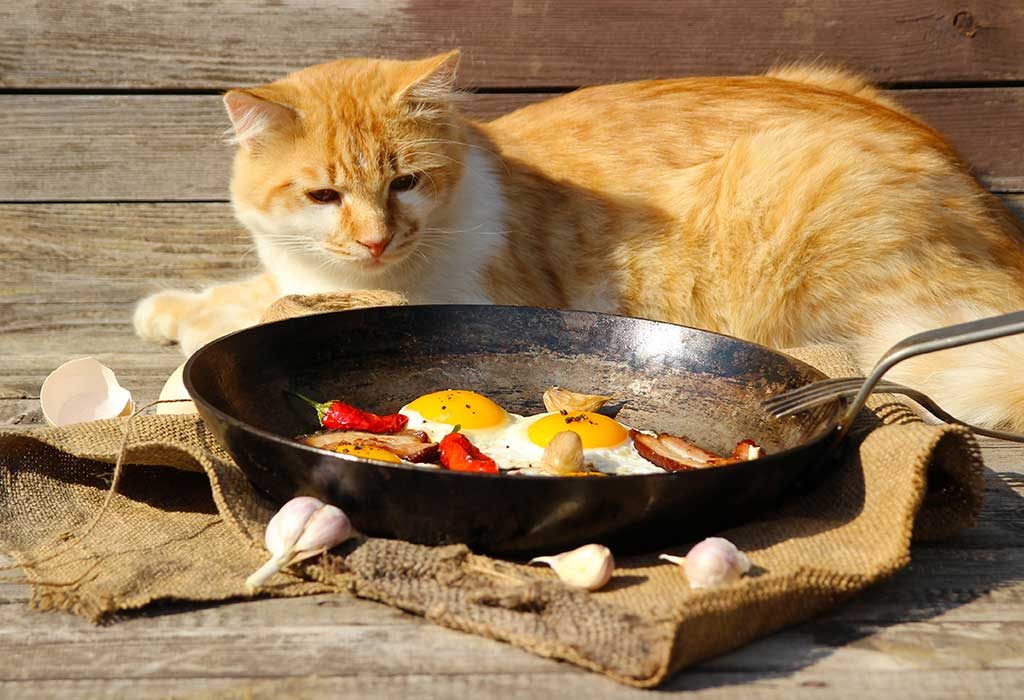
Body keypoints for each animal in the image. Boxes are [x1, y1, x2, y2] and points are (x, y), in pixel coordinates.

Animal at [134, 49, 1024, 429]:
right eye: (324, 195)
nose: (379, 240)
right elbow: (245, 296)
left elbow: (259, 319)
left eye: (406, 183)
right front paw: (171, 312)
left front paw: (176, 380)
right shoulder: (290, 271)